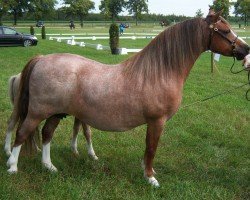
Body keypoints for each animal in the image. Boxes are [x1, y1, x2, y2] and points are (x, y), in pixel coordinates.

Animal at [6, 10, 250, 187]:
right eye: (225, 30)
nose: (245, 49)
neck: (159, 72)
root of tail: (41, 59)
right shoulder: (157, 121)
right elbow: (151, 148)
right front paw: (151, 178)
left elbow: (148, 149)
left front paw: (147, 170)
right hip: (37, 112)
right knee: (21, 133)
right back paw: (12, 167)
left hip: (56, 113)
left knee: (47, 134)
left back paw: (49, 167)